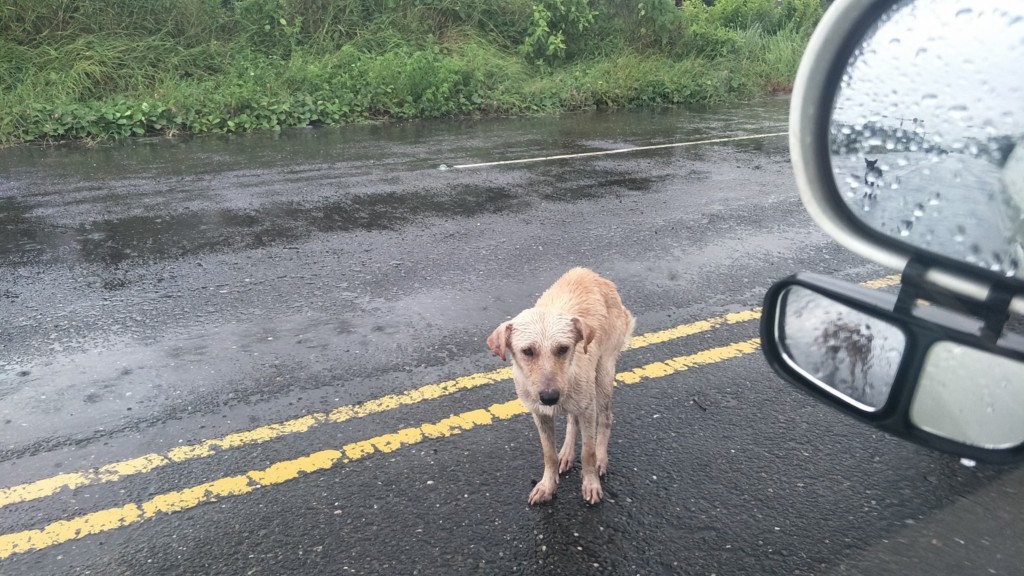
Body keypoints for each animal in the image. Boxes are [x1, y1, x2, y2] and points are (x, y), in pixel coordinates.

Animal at [485, 266, 630, 502]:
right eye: (527, 351)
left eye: (563, 349)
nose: (550, 397)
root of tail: (591, 273)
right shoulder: (540, 414)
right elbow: (549, 453)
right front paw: (547, 485)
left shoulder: (588, 409)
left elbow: (588, 452)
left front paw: (590, 482)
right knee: (572, 420)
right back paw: (567, 453)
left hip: (603, 376)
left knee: (606, 418)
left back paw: (601, 458)